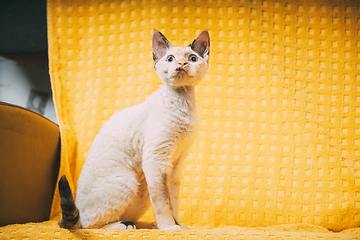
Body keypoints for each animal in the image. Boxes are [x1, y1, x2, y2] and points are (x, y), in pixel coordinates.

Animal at [57, 30, 210, 231]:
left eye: (192, 58)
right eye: (170, 59)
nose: (181, 64)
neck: (183, 102)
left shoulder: (176, 165)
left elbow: (173, 202)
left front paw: (179, 226)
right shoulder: (156, 160)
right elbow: (163, 203)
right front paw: (169, 228)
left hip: (143, 186)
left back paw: (148, 225)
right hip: (129, 182)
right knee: (89, 224)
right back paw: (124, 226)